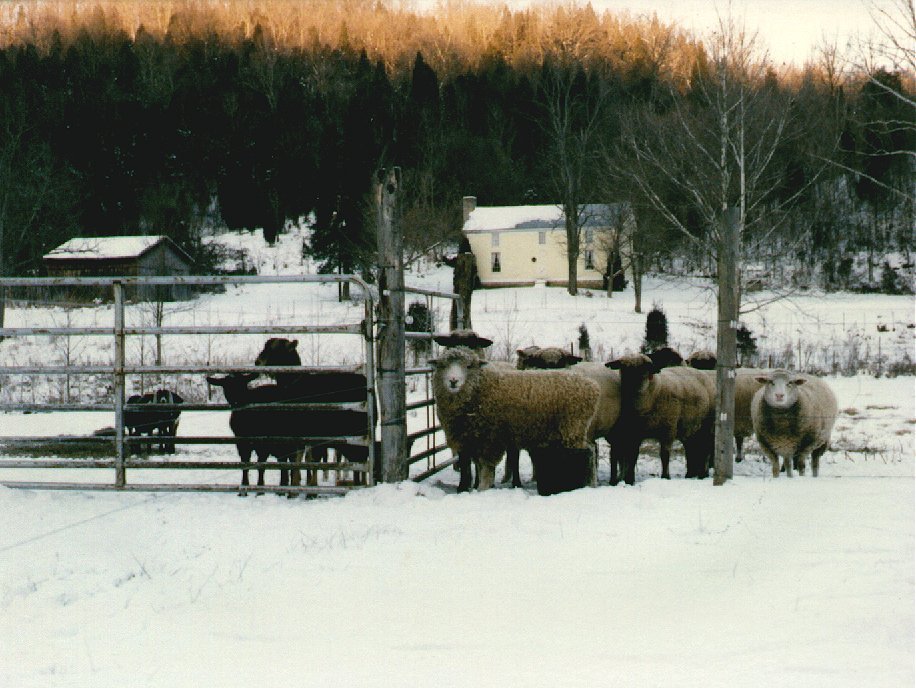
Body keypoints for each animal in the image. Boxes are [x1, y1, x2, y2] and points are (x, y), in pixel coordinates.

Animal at [430, 346, 600, 492]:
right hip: (575, 429)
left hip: (573, 428)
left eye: (469, 366)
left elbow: (486, 469)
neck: (479, 389)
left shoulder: (490, 439)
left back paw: (590, 484)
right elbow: (474, 467)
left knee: (588, 453)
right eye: (442, 365)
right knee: (591, 449)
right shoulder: (469, 439)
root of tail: (592, 386)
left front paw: (482, 489)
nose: (453, 381)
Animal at [604, 354, 720, 484]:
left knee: (707, 449)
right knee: (693, 449)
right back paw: (691, 475)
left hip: (708, 426)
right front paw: (629, 480)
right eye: (623, 368)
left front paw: (665, 477)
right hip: (691, 428)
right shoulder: (635, 433)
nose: (630, 386)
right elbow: (633, 455)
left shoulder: (668, 429)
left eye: (643, 368)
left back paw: (703, 474)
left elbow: (664, 455)